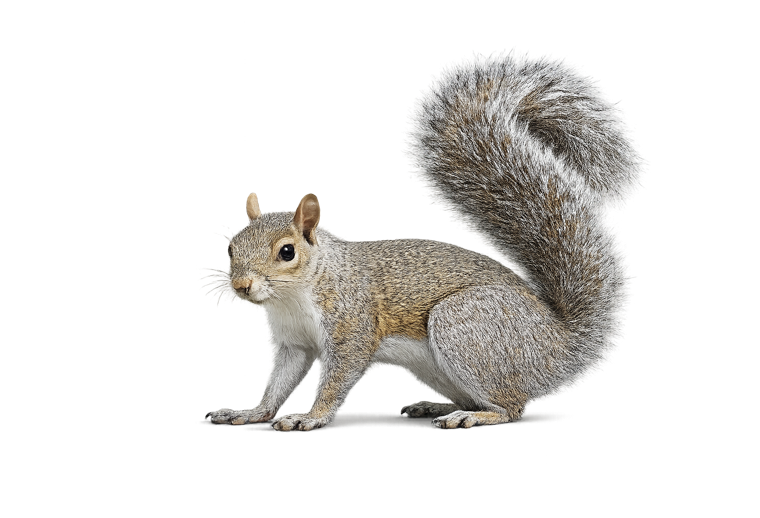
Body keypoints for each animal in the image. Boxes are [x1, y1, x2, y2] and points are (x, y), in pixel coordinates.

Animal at [199, 49, 646, 431]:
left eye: (287, 252)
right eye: (231, 248)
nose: (241, 285)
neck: (292, 296)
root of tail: (560, 344)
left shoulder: (351, 325)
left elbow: (337, 378)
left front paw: (309, 417)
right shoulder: (291, 343)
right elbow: (278, 384)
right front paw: (250, 412)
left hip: (466, 325)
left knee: (512, 406)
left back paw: (473, 416)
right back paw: (436, 404)